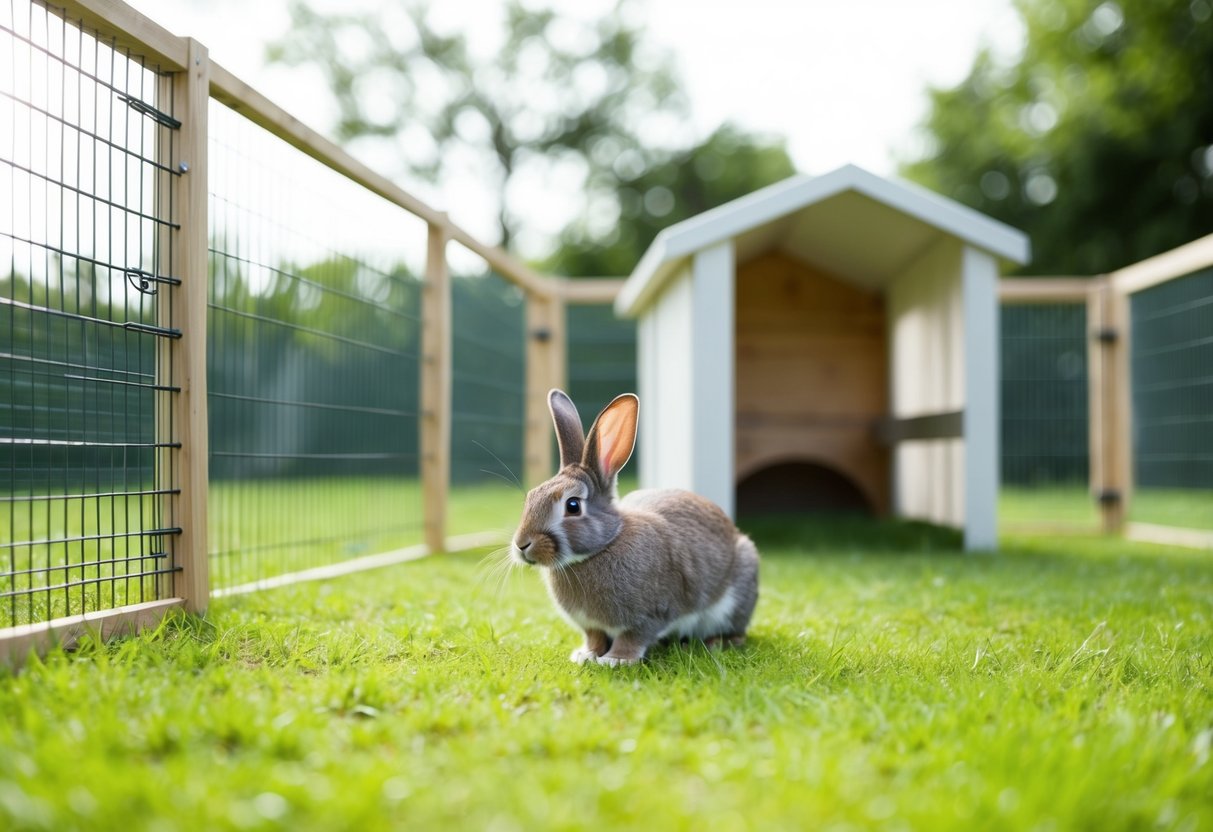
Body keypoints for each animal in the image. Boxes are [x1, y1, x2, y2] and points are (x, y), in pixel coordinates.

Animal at [510, 389, 760, 666]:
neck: (604, 545)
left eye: (573, 505)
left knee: (737, 631)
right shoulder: (592, 626)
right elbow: (594, 638)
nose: (521, 544)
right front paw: (586, 655)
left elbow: (632, 639)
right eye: (531, 496)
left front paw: (616, 660)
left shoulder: (649, 617)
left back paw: (717, 642)